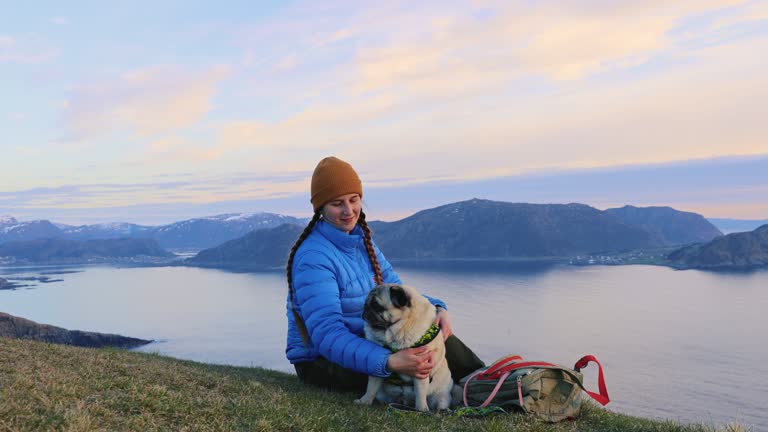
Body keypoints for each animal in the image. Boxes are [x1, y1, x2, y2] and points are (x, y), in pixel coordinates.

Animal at [356, 284, 456, 412]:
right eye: (366, 303)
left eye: (376, 305)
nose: (365, 308)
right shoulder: (377, 372)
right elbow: (371, 388)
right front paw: (365, 401)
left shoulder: (421, 370)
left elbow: (420, 394)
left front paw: (421, 410)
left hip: (441, 395)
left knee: (440, 403)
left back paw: (441, 410)